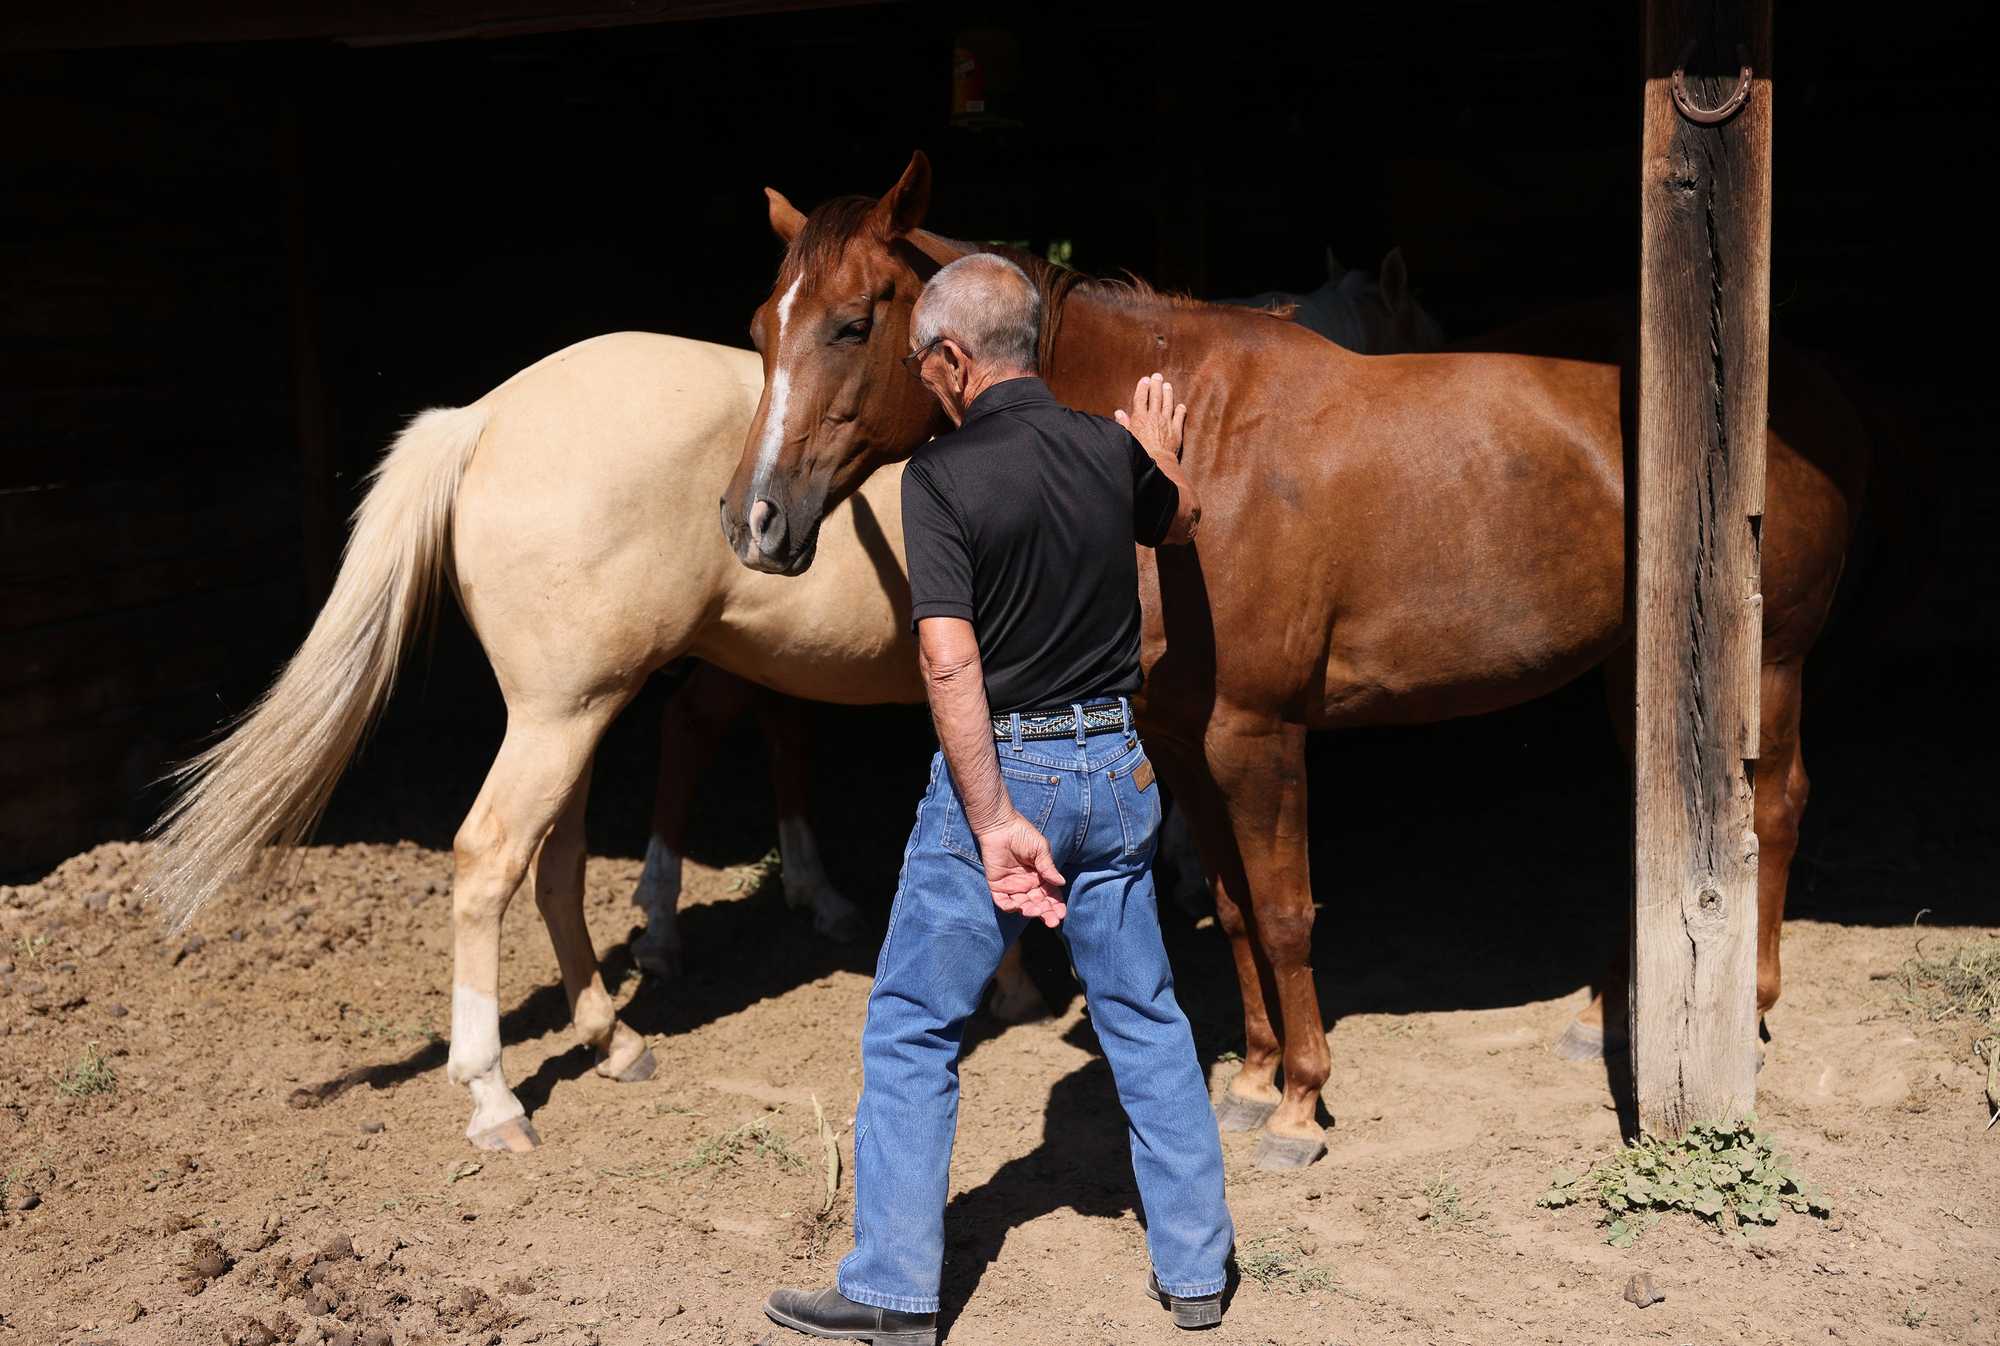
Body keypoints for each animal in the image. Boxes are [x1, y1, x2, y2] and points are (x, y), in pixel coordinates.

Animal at [148, 334, 944, 1144]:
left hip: (579, 716)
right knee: (492, 856)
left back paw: (614, 1040)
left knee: (561, 863)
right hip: (560, 719)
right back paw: (494, 1095)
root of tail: (482, 418)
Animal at [724, 155, 1872, 1168]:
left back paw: (1751, 1001)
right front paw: (1249, 1078)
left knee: (1772, 809)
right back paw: (1605, 1015)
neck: (1187, 444)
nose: (753, 520)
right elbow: (1232, 907)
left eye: (853, 322)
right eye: (759, 329)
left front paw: (1297, 1103)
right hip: (1632, 671)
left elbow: (1283, 913)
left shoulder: (1256, 735)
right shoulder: (1180, 738)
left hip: (1768, 664)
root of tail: (1804, 393)